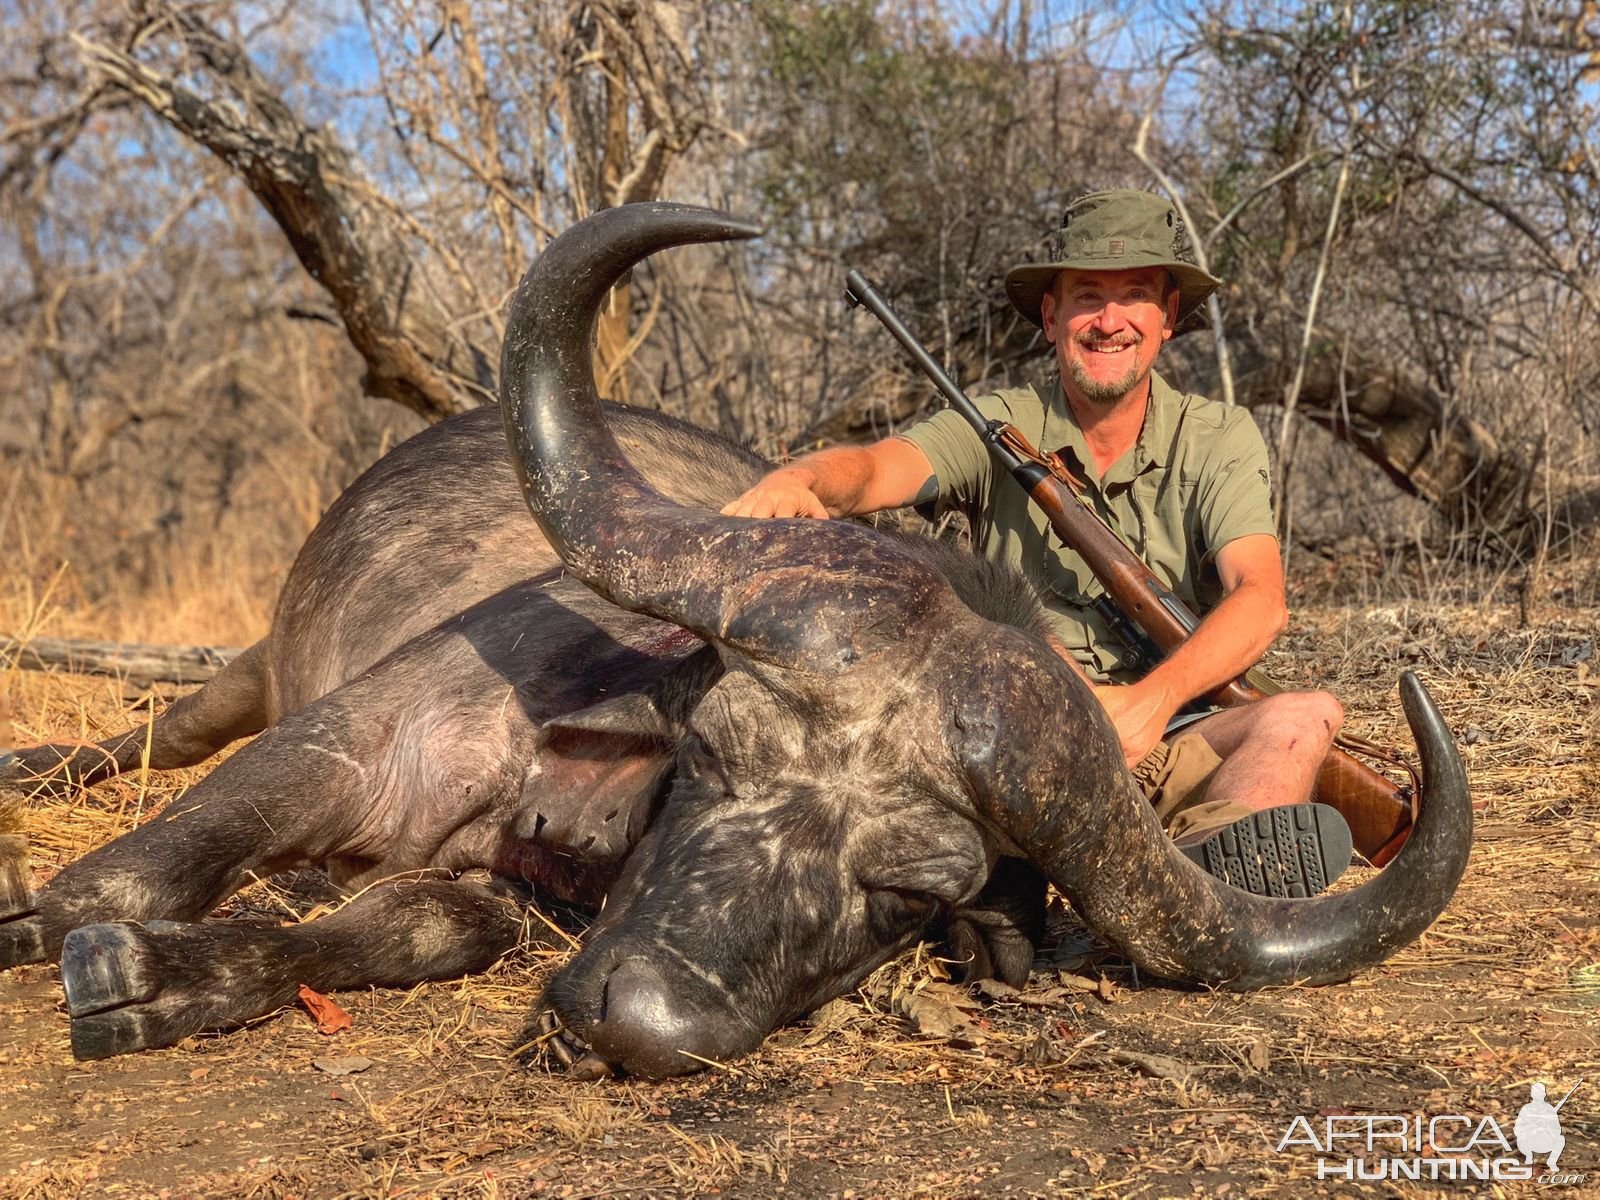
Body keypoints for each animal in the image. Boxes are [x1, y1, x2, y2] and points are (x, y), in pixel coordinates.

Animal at [0, 200, 1472, 1081]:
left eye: (911, 898)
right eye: (710, 754)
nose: (633, 1020)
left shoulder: (478, 899)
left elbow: (405, 927)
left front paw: (161, 982)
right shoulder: (355, 738)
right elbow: (137, 871)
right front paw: (56, 919)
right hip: (247, 677)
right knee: (148, 736)